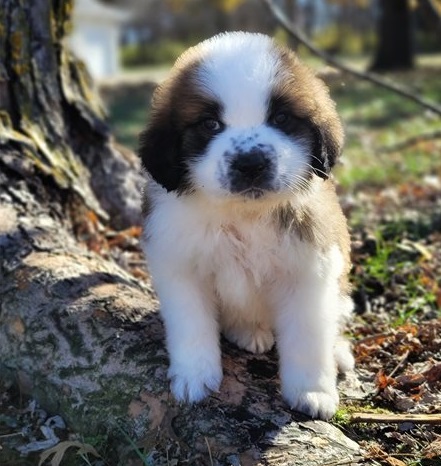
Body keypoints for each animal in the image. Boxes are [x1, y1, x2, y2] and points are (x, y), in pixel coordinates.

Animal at [139, 31, 352, 420]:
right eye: (210, 124)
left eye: (281, 118)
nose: (251, 163)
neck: (243, 216)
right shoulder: (179, 267)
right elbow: (191, 325)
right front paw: (194, 375)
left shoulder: (310, 272)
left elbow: (309, 337)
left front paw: (312, 390)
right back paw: (248, 331)